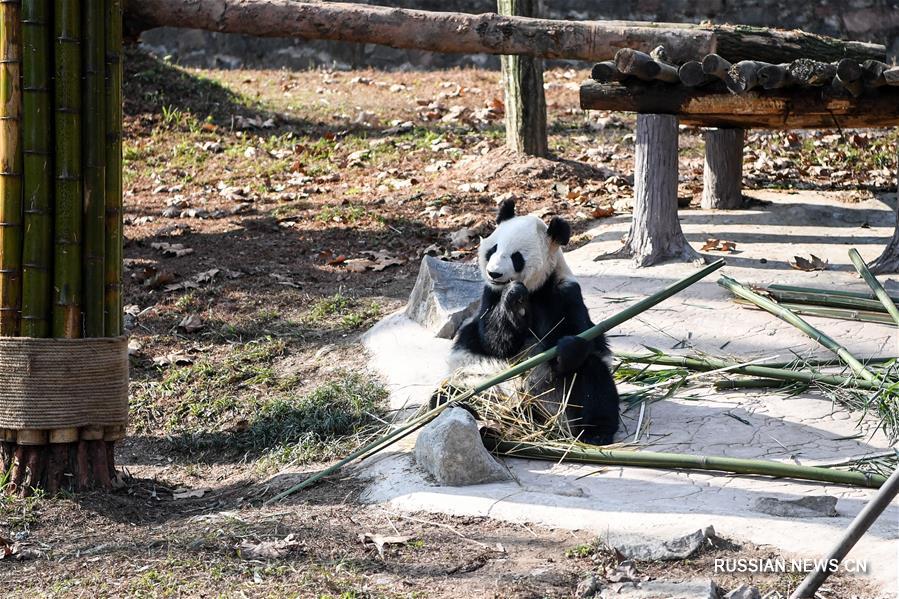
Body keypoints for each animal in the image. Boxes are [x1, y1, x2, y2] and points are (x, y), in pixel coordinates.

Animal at [440, 200, 624, 446]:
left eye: (516, 257)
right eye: (493, 249)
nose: (494, 273)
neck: (534, 290)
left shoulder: (564, 293)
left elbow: (579, 335)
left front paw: (567, 347)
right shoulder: (489, 297)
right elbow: (493, 341)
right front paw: (513, 297)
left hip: (555, 396)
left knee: (594, 379)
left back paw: (596, 432)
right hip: (476, 382)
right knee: (444, 395)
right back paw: (469, 413)